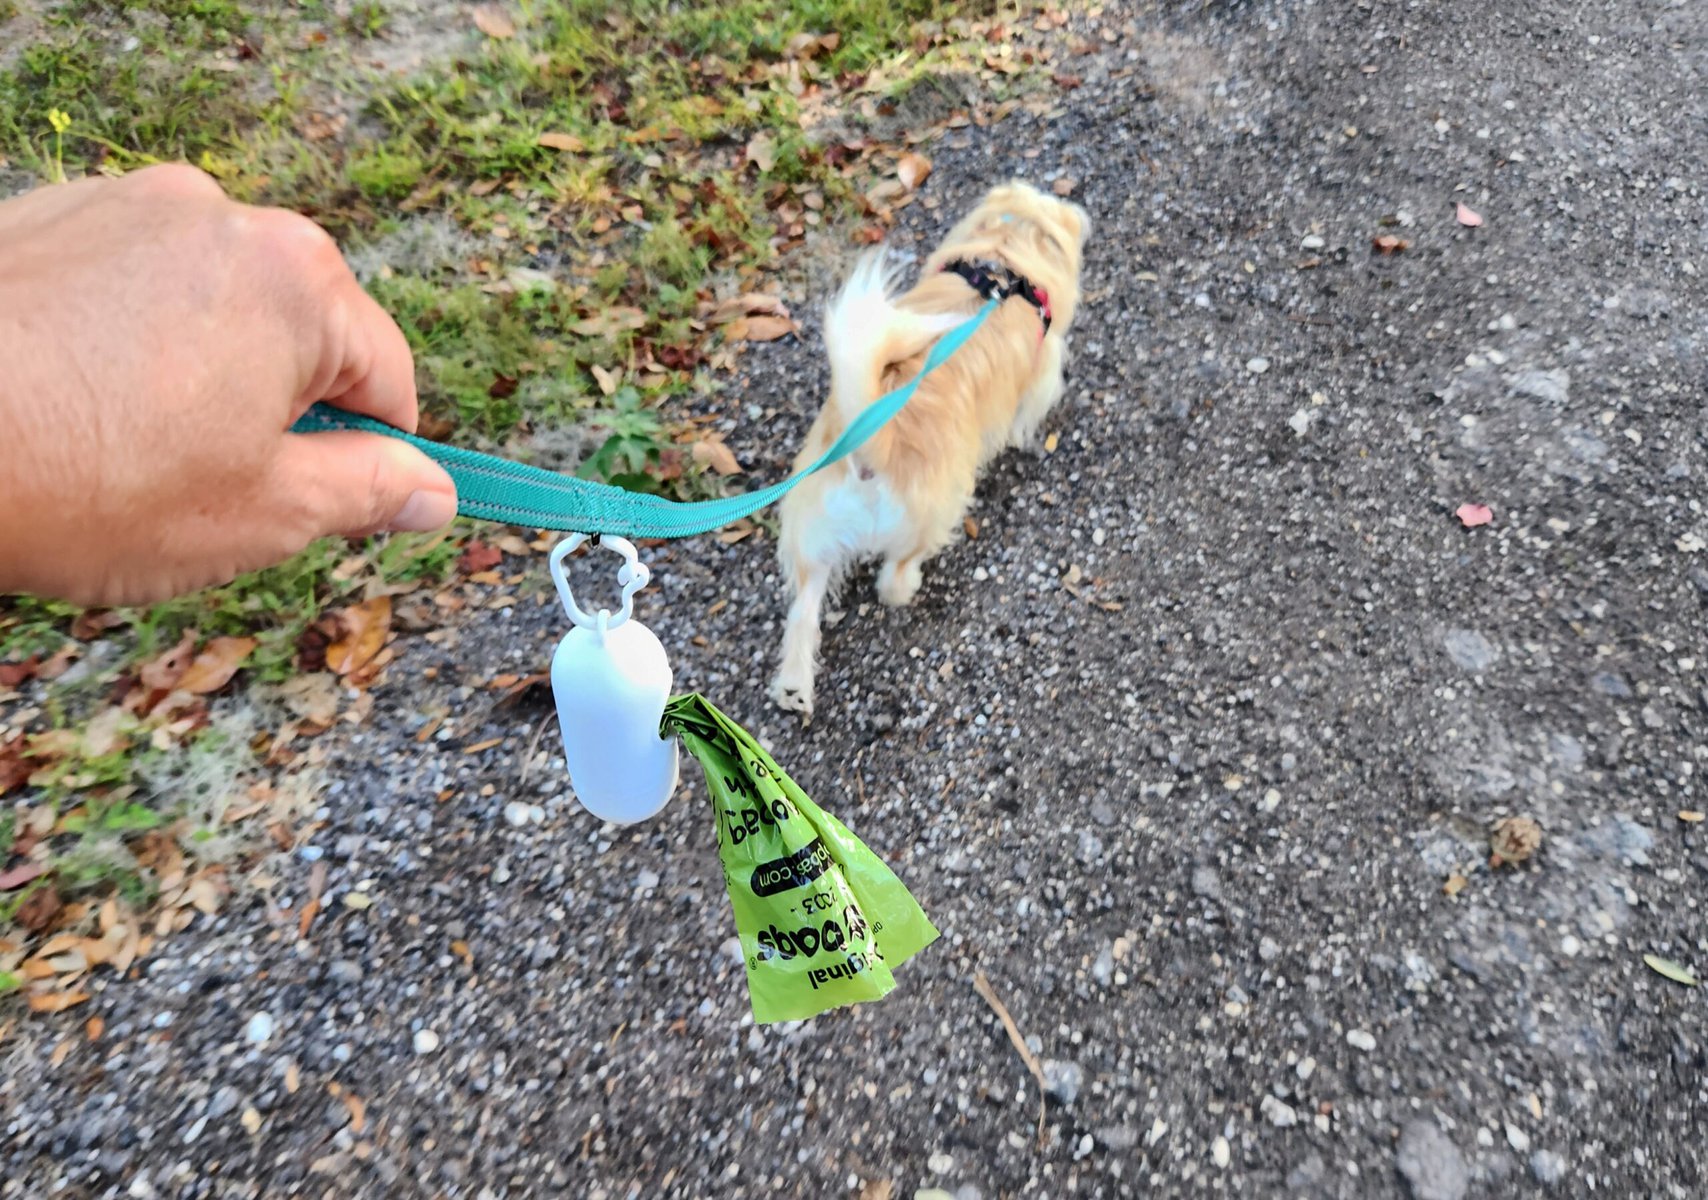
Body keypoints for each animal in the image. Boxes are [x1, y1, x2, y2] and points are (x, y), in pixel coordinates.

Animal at [772, 180, 1086, 713]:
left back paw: (794, 688)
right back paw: (908, 586)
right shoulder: (1043, 370)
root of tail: (870, 449)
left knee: (803, 611)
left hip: (812, 533)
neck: (1004, 255)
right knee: (894, 577)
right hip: (932, 513)